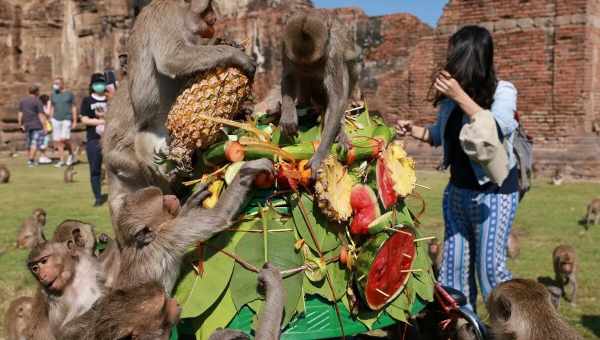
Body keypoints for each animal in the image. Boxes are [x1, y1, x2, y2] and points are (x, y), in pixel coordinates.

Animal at [113, 158, 274, 290]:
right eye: (163, 202)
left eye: (163, 195)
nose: (171, 196)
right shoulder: (169, 234)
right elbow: (218, 216)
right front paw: (248, 168)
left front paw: (192, 201)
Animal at [280, 10, 360, 175]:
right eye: (301, 63)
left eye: (314, 63)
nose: (307, 69)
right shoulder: (284, 47)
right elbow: (288, 75)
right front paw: (288, 116)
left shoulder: (333, 54)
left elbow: (337, 100)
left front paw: (320, 155)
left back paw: (340, 131)